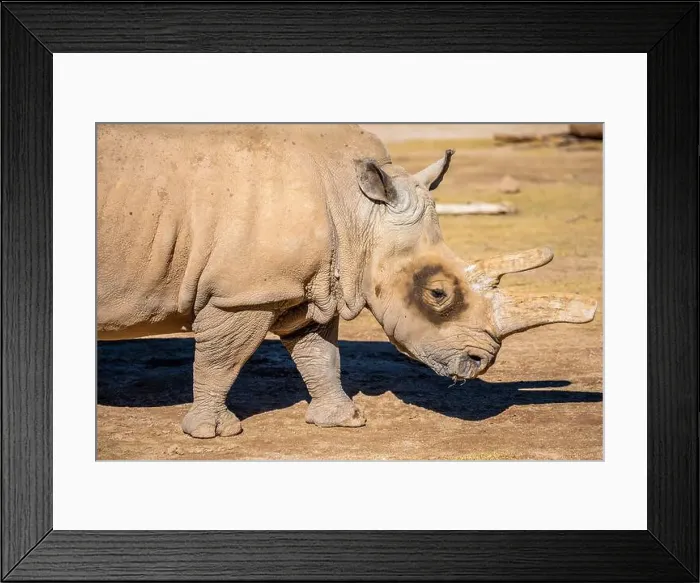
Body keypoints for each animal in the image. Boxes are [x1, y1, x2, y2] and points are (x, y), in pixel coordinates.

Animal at [97, 124, 596, 438]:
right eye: (437, 294)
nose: (481, 362)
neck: (359, 210)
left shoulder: (310, 285)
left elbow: (320, 353)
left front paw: (344, 420)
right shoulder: (243, 294)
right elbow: (223, 359)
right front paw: (213, 434)